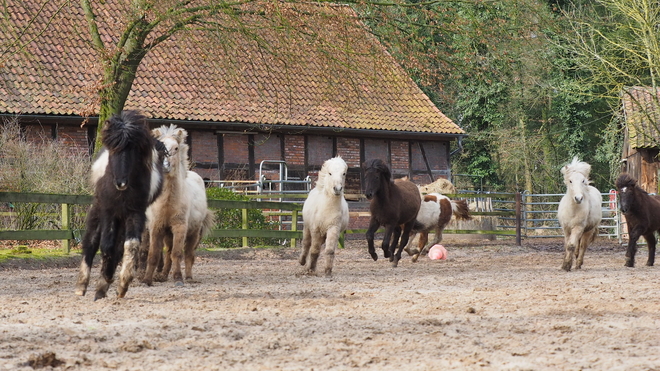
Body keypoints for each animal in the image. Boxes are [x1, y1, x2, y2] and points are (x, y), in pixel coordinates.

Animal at [75, 111, 166, 302]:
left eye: (133, 149)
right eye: (113, 149)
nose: (121, 182)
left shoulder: (135, 212)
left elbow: (130, 246)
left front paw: (121, 284)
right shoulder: (109, 211)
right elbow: (106, 245)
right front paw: (105, 280)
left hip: (123, 217)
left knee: (118, 246)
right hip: (99, 209)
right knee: (91, 241)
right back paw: (82, 286)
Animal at [142, 125, 214, 288]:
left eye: (175, 148)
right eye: (158, 147)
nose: (165, 166)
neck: (168, 203)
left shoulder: (179, 227)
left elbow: (177, 253)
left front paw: (178, 278)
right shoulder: (156, 227)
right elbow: (154, 254)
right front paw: (147, 279)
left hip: (193, 232)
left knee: (188, 254)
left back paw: (188, 277)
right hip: (168, 234)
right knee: (168, 252)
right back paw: (162, 275)